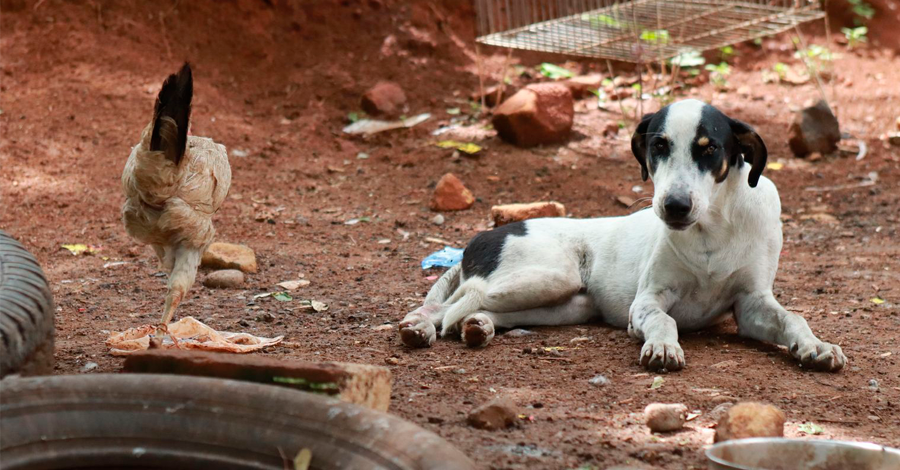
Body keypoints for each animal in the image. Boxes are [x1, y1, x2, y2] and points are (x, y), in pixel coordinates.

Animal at [400, 99, 844, 370]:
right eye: (658, 145)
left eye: (710, 148)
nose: (674, 206)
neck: (711, 231)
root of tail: (477, 240)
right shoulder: (647, 301)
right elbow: (664, 320)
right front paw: (663, 346)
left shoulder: (752, 304)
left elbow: (794, 317)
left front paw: (816, 346)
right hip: (547, 276)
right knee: (444, 306)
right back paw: (421, 329)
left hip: (565, 304)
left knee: (471, 312)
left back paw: (479, 327)